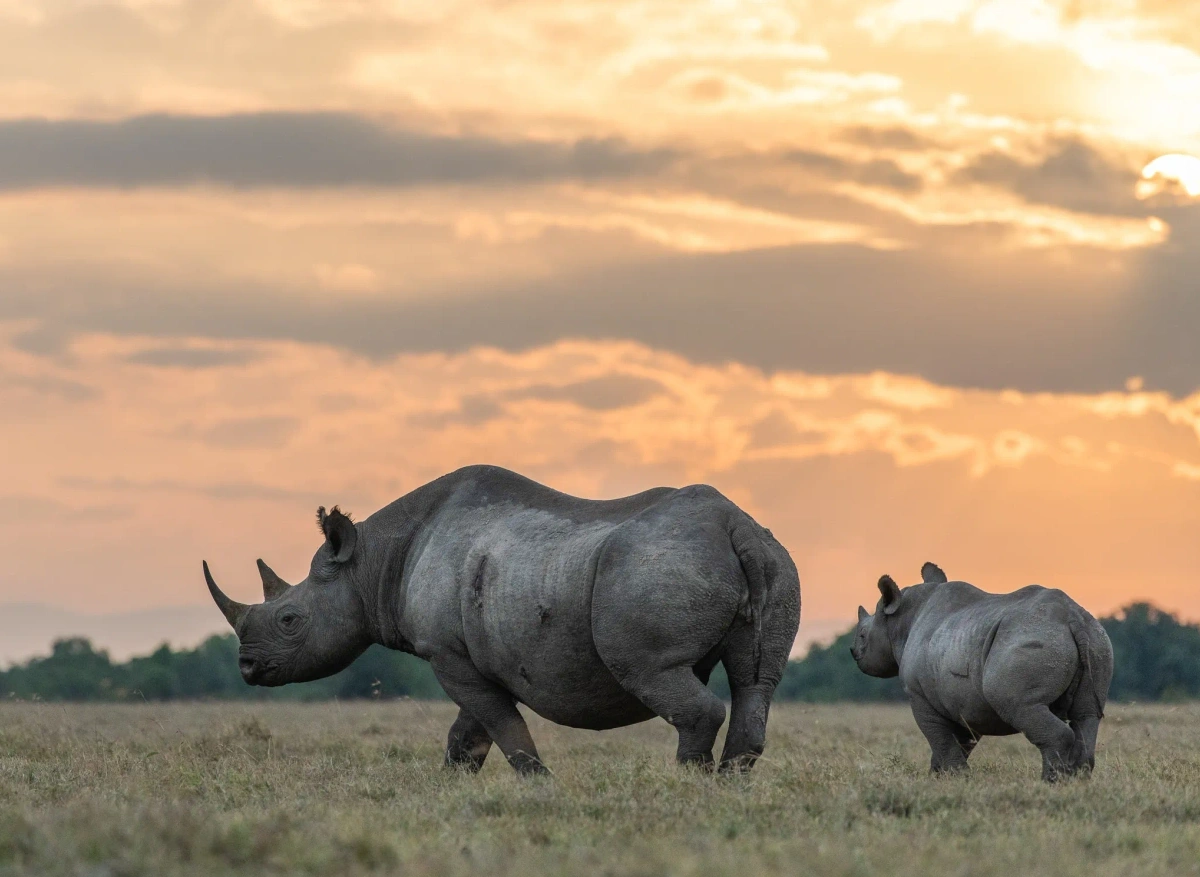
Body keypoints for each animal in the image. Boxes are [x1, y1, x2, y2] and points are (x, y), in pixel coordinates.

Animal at [203, 465, 800, 774]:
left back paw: (683, 785)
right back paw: (727, 787)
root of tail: (736, 526)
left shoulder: (445, 652)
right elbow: (470, 732)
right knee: (756, 681)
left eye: (289, 619)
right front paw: (450, 790)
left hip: (659, 567)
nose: (247, 668)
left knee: (653, 672)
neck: (372, 563)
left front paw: (540, 784)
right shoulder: (475, 653)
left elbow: (498, 725)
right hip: (773, 560)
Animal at [851, 562, 1112, 781]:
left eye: (862, 635)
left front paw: (955, 779)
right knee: (1087, 716)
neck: (901, 620)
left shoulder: (919, 695)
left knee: (1021, 706)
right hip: (1096, 641)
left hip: (1033, 641)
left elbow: (940, 738)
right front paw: (940, 777)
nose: (853, 652)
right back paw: (1075, 782)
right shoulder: (965, 702)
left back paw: (1051, 783)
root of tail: (1072, 618)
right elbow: (959, 740)